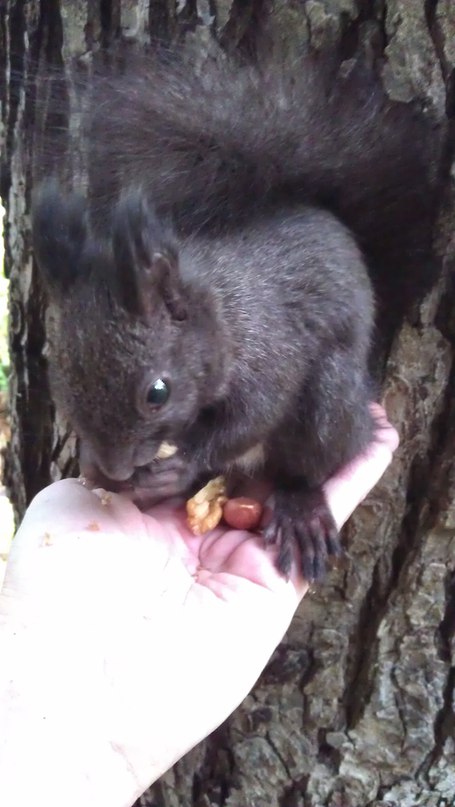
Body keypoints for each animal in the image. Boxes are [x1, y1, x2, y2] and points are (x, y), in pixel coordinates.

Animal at [31, 49, 442, 580]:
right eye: (57, 372)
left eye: (158, 393)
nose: (116, 469)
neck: (221, 316)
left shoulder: (270, 352)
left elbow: (253, 416)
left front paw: (183, 464)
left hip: (330, 400)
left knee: (316, 459)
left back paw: (299, 508)